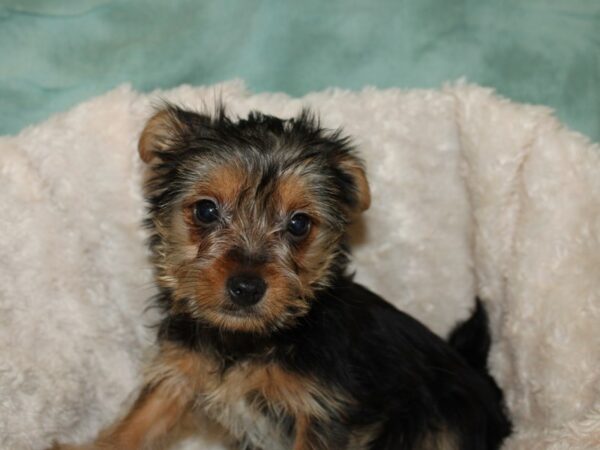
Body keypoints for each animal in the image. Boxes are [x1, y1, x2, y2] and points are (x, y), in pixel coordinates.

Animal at [54, 106, 510, 450]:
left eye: (298, 224)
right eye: (206, 210)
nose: (246, 287)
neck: (251, 340)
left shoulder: (323, 412)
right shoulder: (180, 369)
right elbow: (140, 419)